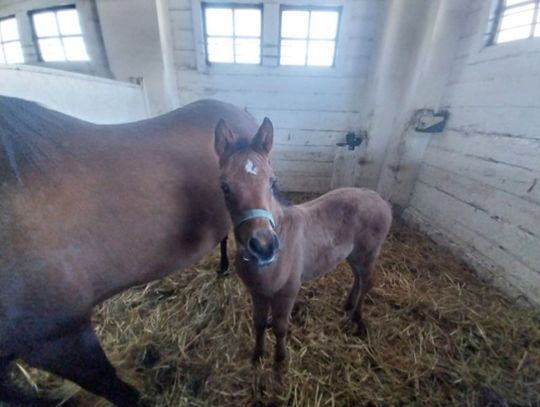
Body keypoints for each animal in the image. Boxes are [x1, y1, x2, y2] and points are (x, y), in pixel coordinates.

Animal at [214, 118, 392, 366]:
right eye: (224, 187)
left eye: (272, 182)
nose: (264, 247)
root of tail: (380, 200)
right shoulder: (257, 292)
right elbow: (259, 324)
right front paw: (257, 356)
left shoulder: (289, 292)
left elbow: (280, 327)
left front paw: (280, 362)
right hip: (353, 255)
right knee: (358, 278)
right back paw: (348, 305)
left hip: (369, 253)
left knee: (367, 282)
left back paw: (357, 319)